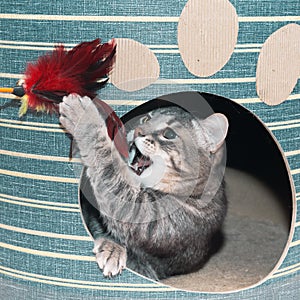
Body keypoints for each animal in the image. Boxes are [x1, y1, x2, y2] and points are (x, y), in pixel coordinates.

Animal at [58, 94, 227, 282]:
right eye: (146, 118)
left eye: (169, 134)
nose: (138, 130)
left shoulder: (137, 210)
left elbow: (104, 155)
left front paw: (83, 114)